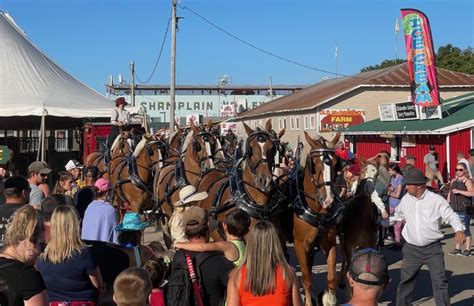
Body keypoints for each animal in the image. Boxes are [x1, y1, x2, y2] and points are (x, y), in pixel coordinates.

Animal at [292, 131, 340, 306]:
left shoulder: (330, 243)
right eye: (314, 163)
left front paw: (329, 299)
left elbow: (332, 277)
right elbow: (306, 278)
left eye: (336, 163)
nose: (328, 200)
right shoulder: (300, 245)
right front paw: (307, 301)